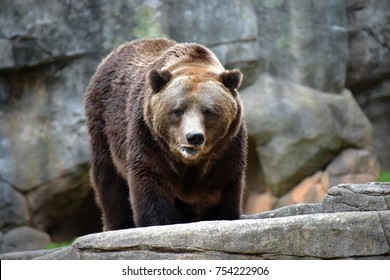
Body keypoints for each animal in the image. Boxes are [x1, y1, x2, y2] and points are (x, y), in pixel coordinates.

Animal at [85, 37, 248, 230]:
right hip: (105, 124)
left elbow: (222, 187)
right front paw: (156, 223)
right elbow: (151, 181)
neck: (189, 162)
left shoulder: (227, 147)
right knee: (109, 178)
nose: (194, 137)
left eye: (209, 112)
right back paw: (119, 224)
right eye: (177, 111)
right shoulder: (149, 137)